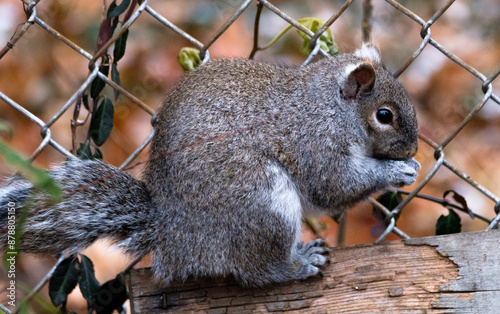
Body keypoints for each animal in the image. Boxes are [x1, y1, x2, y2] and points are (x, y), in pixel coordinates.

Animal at [0, 44, 420, 288]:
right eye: (384, 115)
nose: (414, 146)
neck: (327, 107)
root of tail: (172, 234)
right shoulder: (315, 143)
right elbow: (333, 186)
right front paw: (395, 171)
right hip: (262, 203)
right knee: (256, 272)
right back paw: (296, 265)